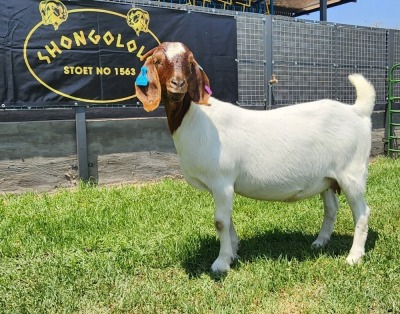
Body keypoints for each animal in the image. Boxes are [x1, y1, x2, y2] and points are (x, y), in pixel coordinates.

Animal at [134, 41, 376, 272]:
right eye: (157, 61)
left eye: (190, 62)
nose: (178, 84)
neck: (195, 118)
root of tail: (358, 111)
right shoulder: (221, 187)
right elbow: (228, 220)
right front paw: (233, 251)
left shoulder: (222, 181)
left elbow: (220, 222)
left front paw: (221, 263)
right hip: (327, 178)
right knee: (331, 208)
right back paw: (320, 242)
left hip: (352, 173)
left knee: (362, 212)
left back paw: (354, 256)